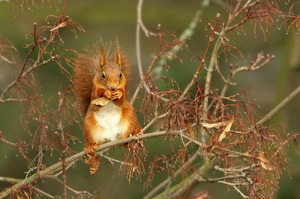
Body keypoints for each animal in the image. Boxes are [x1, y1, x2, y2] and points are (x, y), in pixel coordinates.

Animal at [73, 42, 142, 173]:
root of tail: (112, 138)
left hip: (129, 120)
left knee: (127, 142)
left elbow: (121, 99)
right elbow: (97, 94)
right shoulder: (94, 92)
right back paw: (91, 150)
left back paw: (136, 134)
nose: (113, 87)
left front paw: (118, 94)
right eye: (103, 75)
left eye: (120, 74)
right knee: (93, 145)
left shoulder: (123, 89)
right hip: (90, 128)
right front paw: (106, 93)